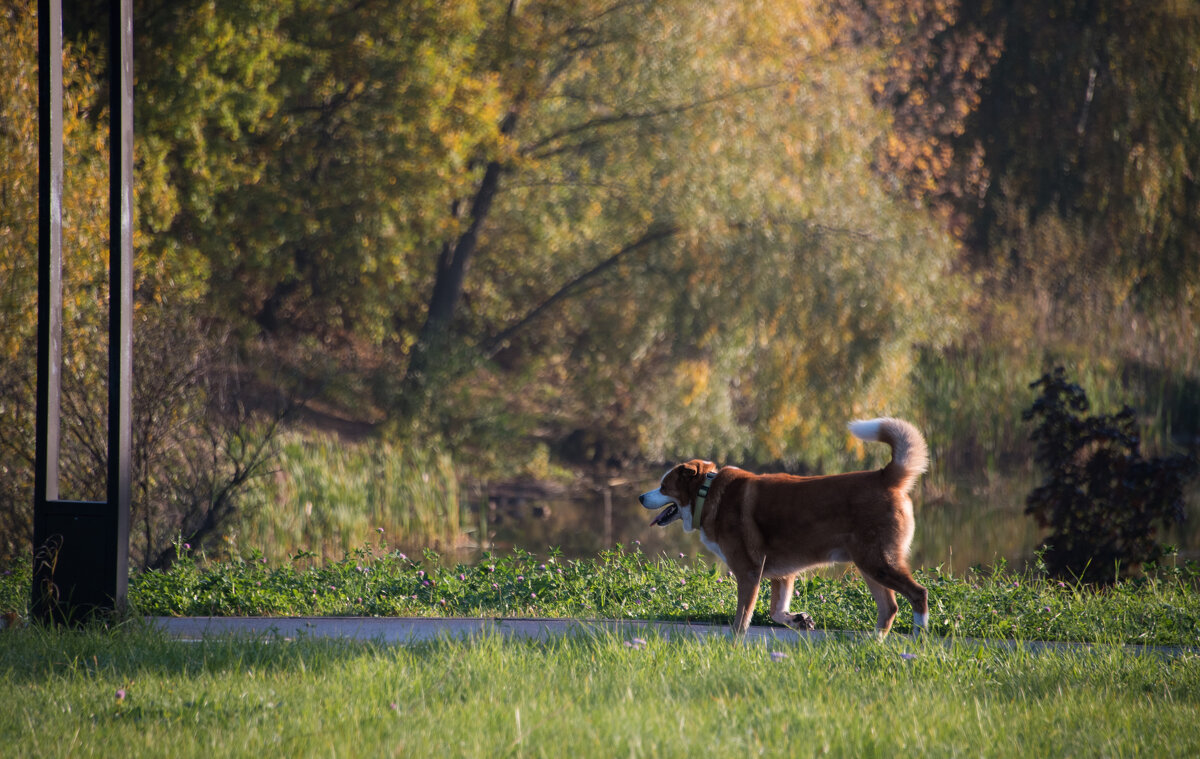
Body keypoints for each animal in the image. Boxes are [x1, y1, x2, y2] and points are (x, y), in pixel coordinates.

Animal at [638, 417, 926, 638]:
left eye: (663, 487)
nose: (640, 497)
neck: (707, 494)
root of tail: (885, 477)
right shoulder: (783, 574)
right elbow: (776, 612)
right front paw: (798, 619)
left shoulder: (749, 572)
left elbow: (742, 619)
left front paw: (732, 646)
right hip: (868, 565)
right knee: (889, 608)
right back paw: (873, 643)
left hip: (877, 562)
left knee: (918, 594)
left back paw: (919, 638)